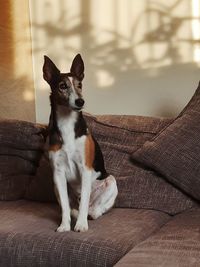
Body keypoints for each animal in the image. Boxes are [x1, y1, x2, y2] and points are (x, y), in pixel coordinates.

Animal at [42, 54, 117, 232]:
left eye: (80, 85)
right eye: (62, 86)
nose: (80, 101)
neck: (67, 123)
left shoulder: (85, 168)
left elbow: (82, 204)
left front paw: (81, 225)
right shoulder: (58, 173)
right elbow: (64, 206)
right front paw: (64, 225)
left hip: (111, 181)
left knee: (92, 208)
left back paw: (90, 214)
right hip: (55, 185)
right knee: (72, 207)